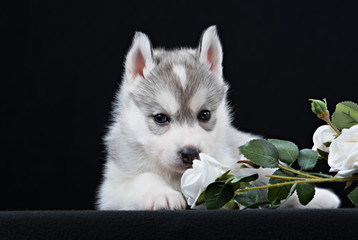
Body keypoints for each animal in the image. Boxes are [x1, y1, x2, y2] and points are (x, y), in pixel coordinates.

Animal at [96, 26, 340, 210]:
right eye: (160, 118)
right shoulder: (112, 188)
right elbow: (142, 179)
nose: (190, 153)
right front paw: (162, 195)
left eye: (204, 115)